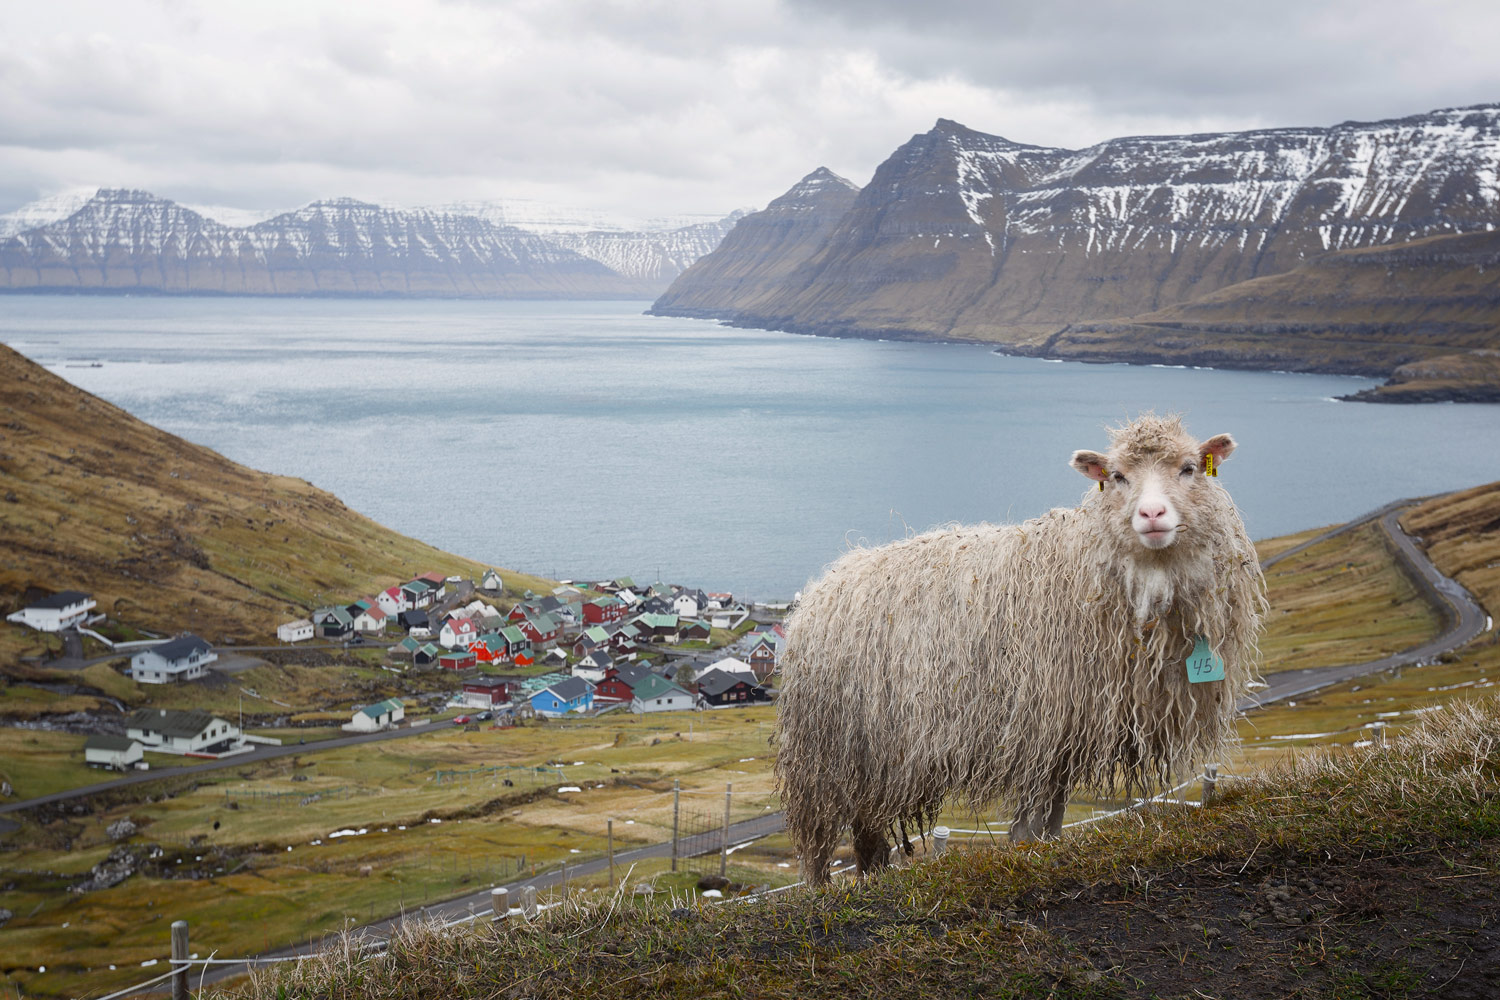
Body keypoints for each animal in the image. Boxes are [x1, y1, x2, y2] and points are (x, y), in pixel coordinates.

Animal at [774, 413, 1266, 881]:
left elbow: (1054, 817)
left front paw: (1048, 849)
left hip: (872, 763)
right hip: (824, 761)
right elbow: (1029, 824)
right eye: (1118, 476)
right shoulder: (1036, 730)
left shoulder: (1064, 735)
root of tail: (827, 583)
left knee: (867, 837)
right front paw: (1025, 853)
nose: (1151, 515)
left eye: (1189, 468)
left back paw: (874, 880)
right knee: (819, 852)